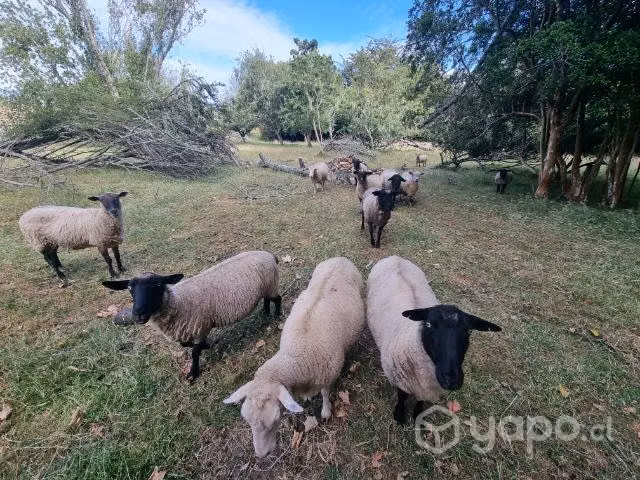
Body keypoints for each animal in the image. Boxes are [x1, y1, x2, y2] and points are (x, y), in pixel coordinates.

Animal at [102, 250, 281, 381]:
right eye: (130, 288)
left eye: (157, 285)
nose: (139, 315)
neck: (178, 302)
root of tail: (269, 254)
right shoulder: (191, 329)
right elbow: (185, 344)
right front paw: (207, 345)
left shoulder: (200, 326)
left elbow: (194, 352)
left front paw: (193, 373)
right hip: (266, 287)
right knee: (266, 299)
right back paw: (265, 312)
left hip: (272, 285)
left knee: (277, 299)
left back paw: (277, 316)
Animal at [223, 257, 365, 458]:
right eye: (247, 419)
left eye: (276, 418)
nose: (262, 454)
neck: (298, 354)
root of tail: (340, 258)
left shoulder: (329, 373)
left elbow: (325, 393)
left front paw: (326, 412)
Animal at [366, 255, 502, 423]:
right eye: (429, 324)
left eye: (469, 331)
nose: (452, 379)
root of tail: (395, 257)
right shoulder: (399, 380)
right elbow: (402, 397)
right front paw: (399, 417)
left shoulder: (427, 390)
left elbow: (420, 402)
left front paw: (418, 417)